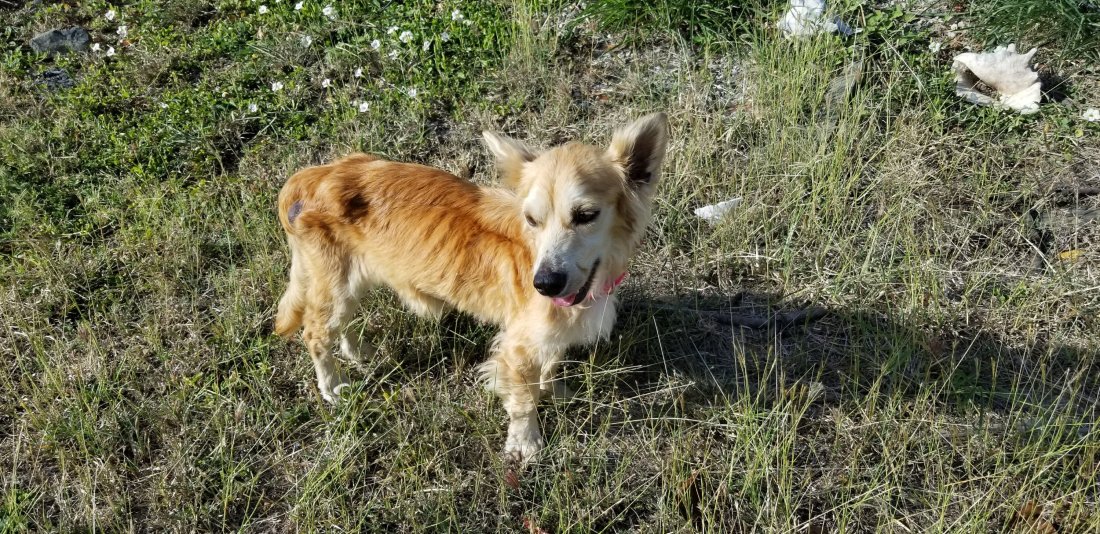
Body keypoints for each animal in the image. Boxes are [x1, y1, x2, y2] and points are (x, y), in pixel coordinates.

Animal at [274, 113, 669, 462]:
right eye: (532, 220)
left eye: (586, 216)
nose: (544, 284)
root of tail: (313, 176)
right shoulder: (516, 346)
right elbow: (522, 400)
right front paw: (524, 444)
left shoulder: (547, 337)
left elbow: (549, 366)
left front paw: (553, 391)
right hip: (335, 285)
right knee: (315, 334)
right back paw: (331, 387)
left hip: (351, 283)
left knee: (342, 325)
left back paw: (358, 352)